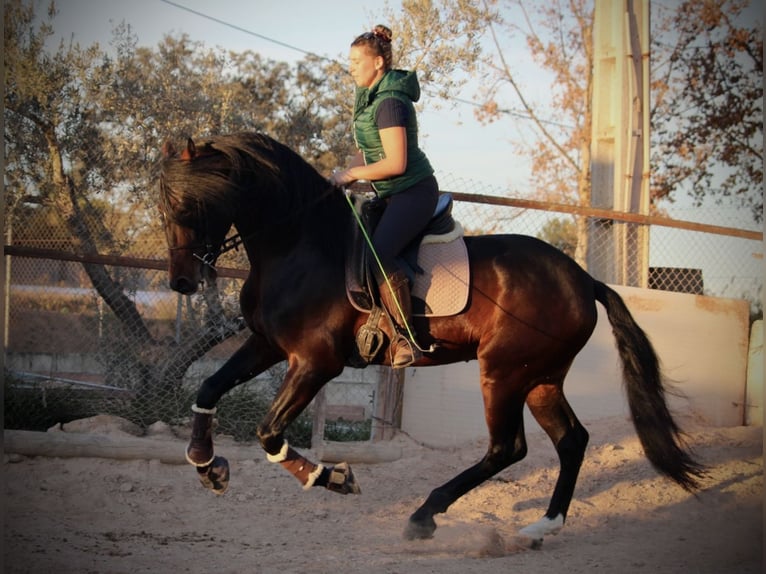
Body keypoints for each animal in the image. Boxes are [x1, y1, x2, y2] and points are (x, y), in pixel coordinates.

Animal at [159, 132, 704, 548]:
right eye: (167, 207)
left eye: (190, 203)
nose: (182, 282)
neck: (300, 245)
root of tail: (583, 280)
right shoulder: (267, 345)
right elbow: (208, 388)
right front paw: (208, 467)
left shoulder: (315, 362)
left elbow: (269, 432)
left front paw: (333, 477)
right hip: (541, 379)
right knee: (571, 441)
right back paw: (540, 527)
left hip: (504, 373)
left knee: (508, 448)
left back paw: (424, 515)